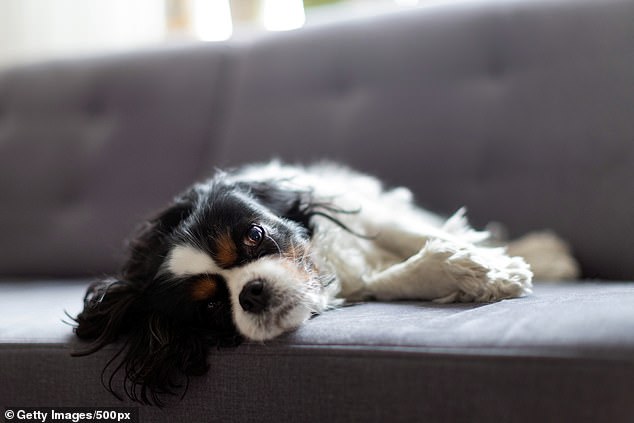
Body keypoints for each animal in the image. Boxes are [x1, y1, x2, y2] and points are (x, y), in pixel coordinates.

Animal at [71, 161, 532, 404]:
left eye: (254, 235)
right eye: (211, 307)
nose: (252, 291)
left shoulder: (358, 212)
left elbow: (408, 233)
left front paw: (487, 265)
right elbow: (392, 278)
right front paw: (465, 269)